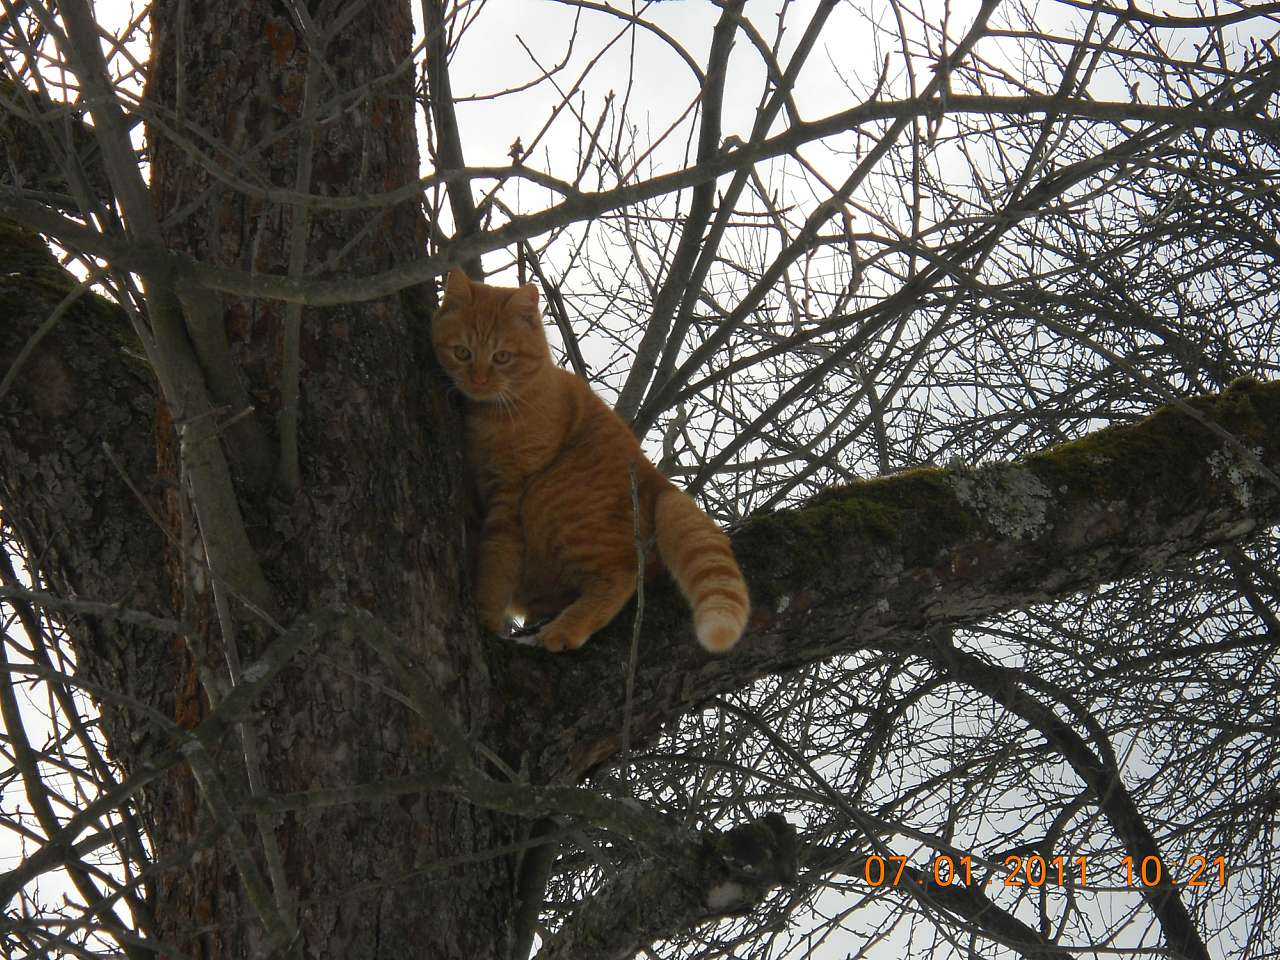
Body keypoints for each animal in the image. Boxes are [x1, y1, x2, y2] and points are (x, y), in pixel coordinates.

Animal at [435, 268, 747, 655]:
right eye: (462, 353)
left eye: (502, 357)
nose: (478, 380)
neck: (491, 416)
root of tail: (658, 481)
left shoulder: (509, 498)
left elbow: (497, 559)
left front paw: (485, 618)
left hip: (552, 498)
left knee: (622, 574)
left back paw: (566, 628)